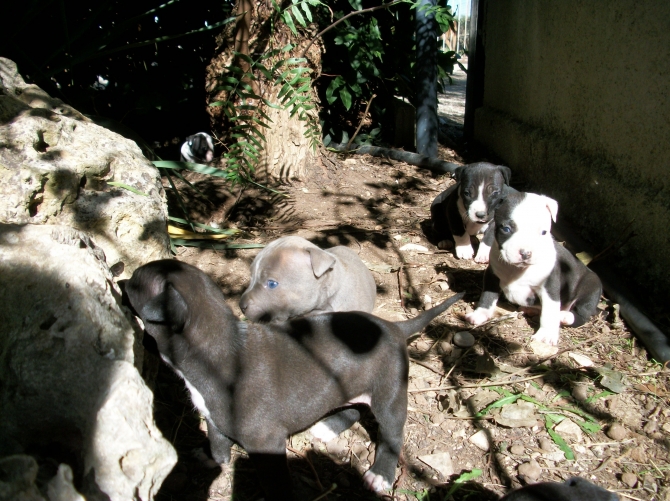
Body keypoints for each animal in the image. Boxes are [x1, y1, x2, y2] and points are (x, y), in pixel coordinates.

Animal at [123, 260, 464, 498]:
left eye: (134, 285)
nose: (120, 278)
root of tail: (394, 327)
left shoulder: (266, 444)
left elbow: (275, 482)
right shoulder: (213, 417)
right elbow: (218, 445)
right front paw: (209, 458)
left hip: (389, 394)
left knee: (391, 433)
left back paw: (381, 474)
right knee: (355, 407)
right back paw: (328, 426)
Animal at [468, 189, 604, 346]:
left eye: (544, 232)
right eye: (506, 229)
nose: (526, 253)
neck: (518, 270)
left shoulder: (550, 287)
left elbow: (549, 312)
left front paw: (546, 334)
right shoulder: (492, 275)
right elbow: (488, 296)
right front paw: (481, 313)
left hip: (591, 288)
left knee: (582, 315)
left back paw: (564, 316)